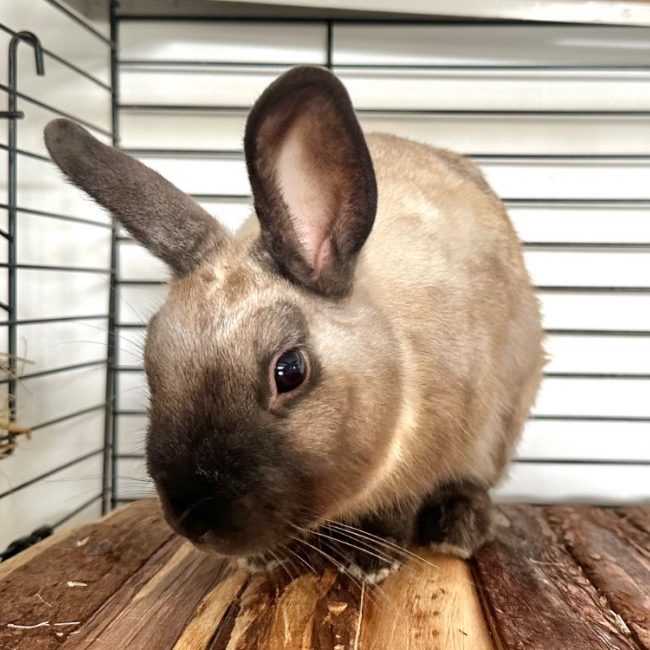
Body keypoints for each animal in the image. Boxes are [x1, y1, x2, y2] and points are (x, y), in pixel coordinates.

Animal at [44, 65, 544, 584]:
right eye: (151, 364)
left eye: (289, 372)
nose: (193, 522)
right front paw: (261, 559)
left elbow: (395, 511)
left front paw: (369, 562)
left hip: (503, 424)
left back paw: (457, 529)